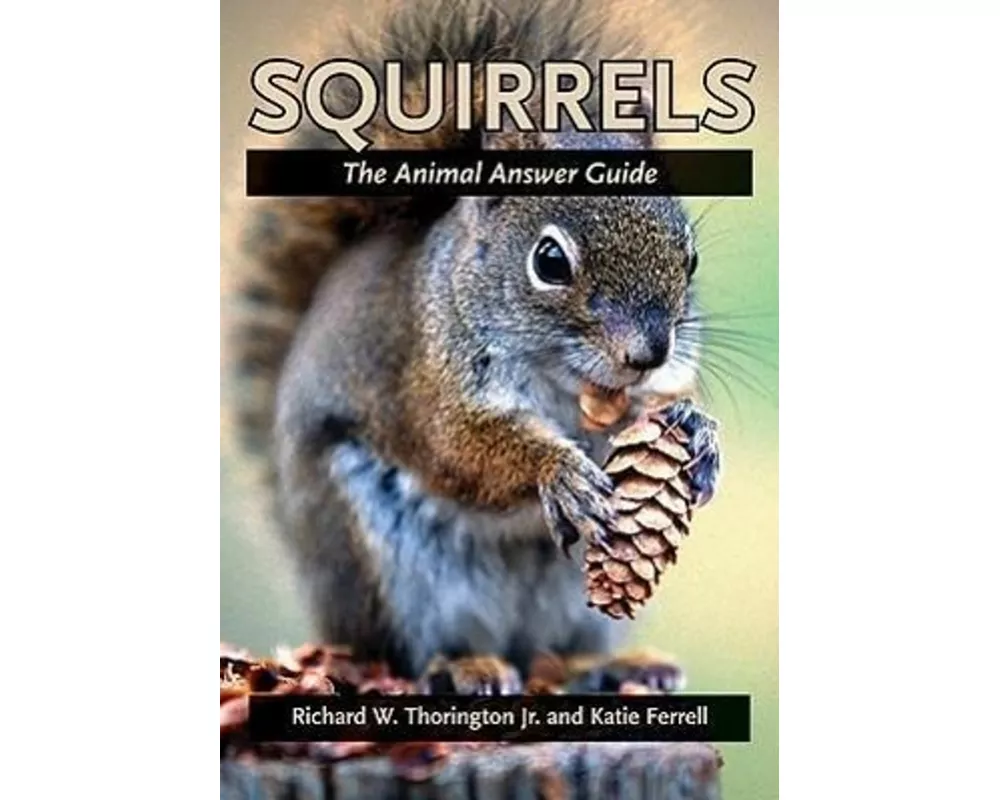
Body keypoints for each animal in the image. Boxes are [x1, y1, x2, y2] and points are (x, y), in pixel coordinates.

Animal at [231, 0, 721, 691]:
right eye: (549, 261)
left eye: (690, 257)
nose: (648, 352)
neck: (564, 383)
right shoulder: (429, 380)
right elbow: (459, 446)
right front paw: (558, 470)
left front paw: (694, 427)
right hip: (385, 565)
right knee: (409, 652)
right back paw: (466, 666)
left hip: (574, 603)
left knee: (559, 650)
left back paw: (615, 664)